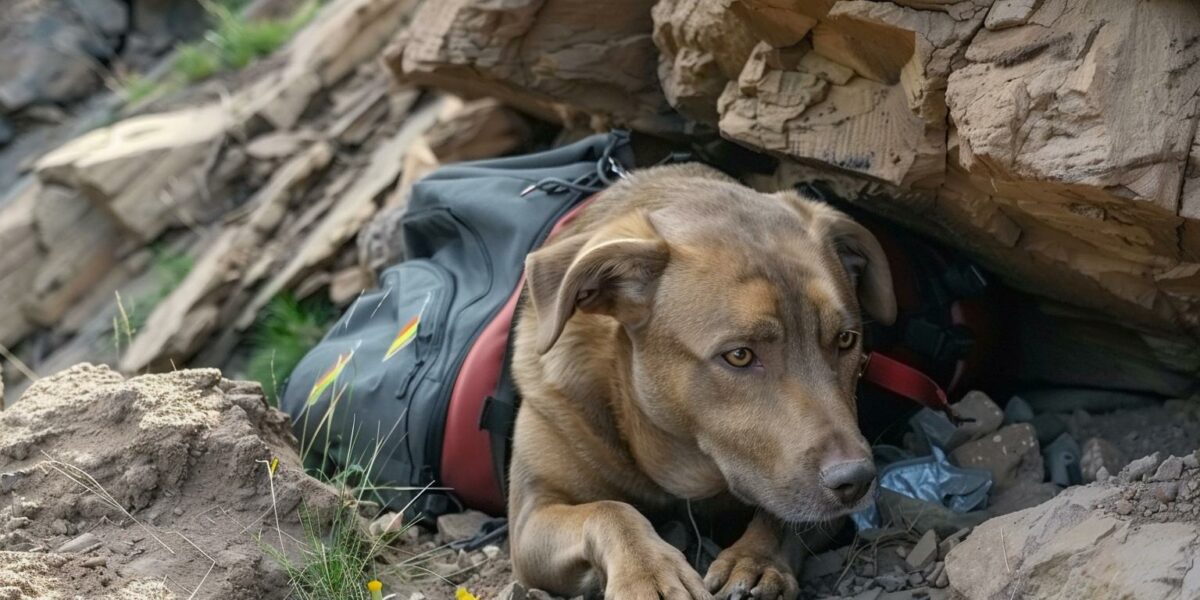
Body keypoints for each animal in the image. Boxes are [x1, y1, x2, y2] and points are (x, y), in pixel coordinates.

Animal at [504, 164, 892, 600]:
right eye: (739, 355)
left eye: (846, 340)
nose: (856, 480)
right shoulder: (532, 514)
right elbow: (611, 510)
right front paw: (649, 572)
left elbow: (785, 514)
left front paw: (756, 559)